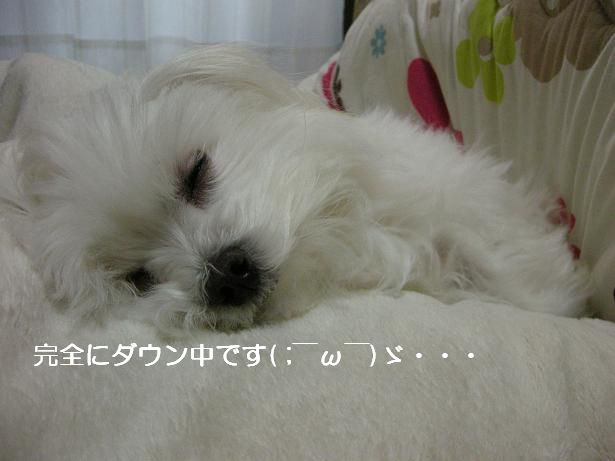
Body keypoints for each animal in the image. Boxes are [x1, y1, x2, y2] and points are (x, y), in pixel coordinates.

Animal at [2, 45, 590, 333]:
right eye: (139, 279)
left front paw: (557, 296)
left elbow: (502, 256)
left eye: (196, 172)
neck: (348, 230)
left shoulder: (455, 190)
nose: (224, 275)